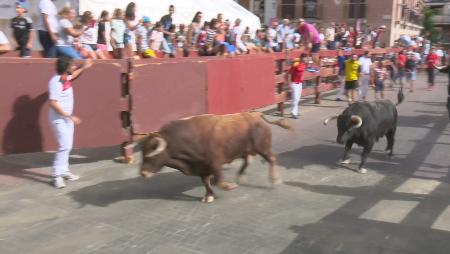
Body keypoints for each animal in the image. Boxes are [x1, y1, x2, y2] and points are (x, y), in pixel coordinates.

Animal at [141, 112, 294, 203]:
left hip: (263, 148)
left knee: (272, 159)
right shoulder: (202, 167)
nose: (143, 173)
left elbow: (219, 181)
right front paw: (209, 195)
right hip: (246, 150)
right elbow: (205, 181)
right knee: (248, 160)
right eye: (143, 153)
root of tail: (256, 114)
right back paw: (240, 177)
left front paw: (228, 186)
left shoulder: (214, 163)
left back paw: (274, 180)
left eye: (152, 155)